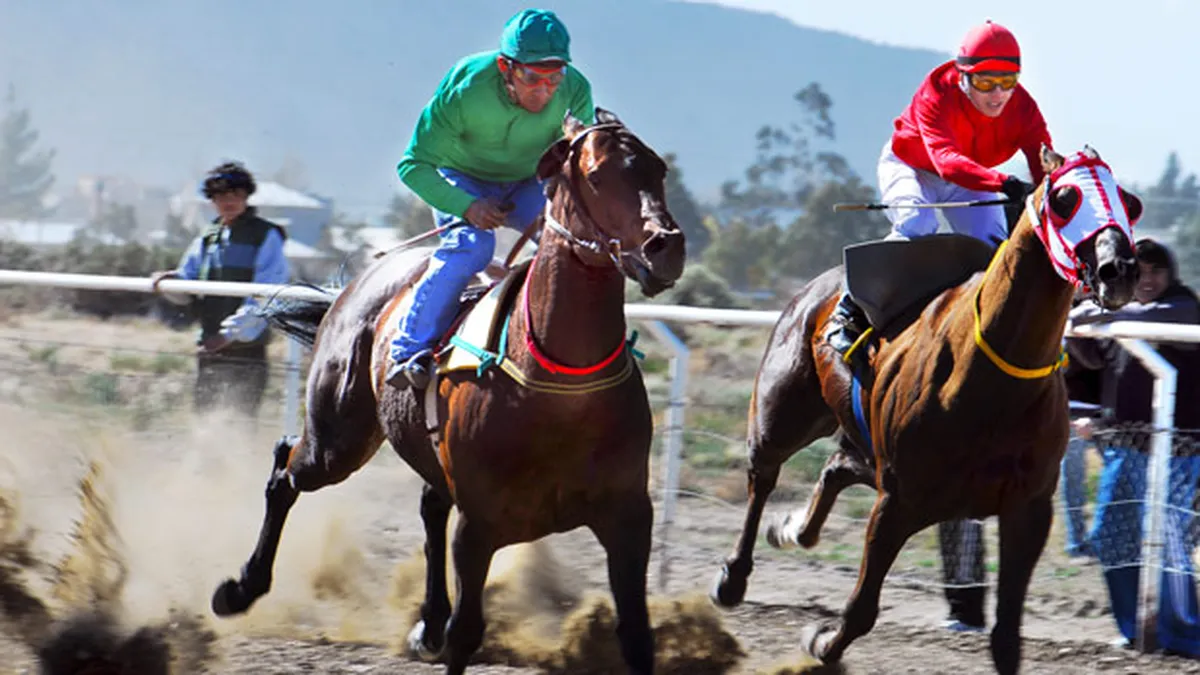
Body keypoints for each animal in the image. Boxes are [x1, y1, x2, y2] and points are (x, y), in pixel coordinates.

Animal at [206, 110, 686, 672]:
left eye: (658, 170)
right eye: (597, 175)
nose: (666, 247)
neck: (562, 384)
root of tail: (359, 283)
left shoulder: (628, 516)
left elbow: (636, 635)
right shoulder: (479, 524)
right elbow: (467, 632)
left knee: (429, 504)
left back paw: (427, 622)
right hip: (336, 440)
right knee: (286, 469)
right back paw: (240, 589)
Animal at [710, 144, 1142, 667]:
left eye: (1129, 202)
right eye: (1064, 198)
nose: (1120, 270)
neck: (993, 375)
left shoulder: (1028, 507)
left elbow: (1006, 638)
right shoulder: (897, 499)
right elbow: (861, 609)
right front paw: (822, 640)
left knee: (836, 466)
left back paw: (793, 528)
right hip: (783, 414)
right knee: (764, 475)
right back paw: (733, 577)